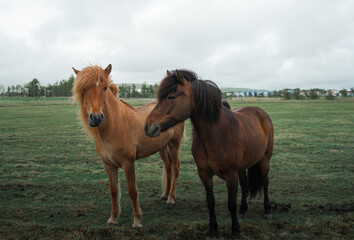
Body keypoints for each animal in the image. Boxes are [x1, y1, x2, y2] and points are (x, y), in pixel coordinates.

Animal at [71, 65, 184, 227]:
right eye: (84, 89)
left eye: (104, 88)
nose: (96, 118)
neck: (113, 127)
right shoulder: (109, 165)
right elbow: (113, 191)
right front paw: (113, 219)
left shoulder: (128, 163)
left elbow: (132, 191)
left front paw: (137, 220)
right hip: (162, 147)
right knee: (168, 167)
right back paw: (164, 195)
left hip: (174, 144)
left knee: (175, 167)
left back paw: (170, 200)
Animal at [145, 70, 274, 238]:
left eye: (171, 97)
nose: (147, 126)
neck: (216, 134)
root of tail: (260, 112)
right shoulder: (204, 173)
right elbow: (210, 201)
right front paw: (212, 229)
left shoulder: (231, 174)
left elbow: (231, 204)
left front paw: (235, 231)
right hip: (242, 167)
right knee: (245, 184)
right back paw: (243, 210)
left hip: (265, 159)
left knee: (265, 181)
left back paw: (267, 210)